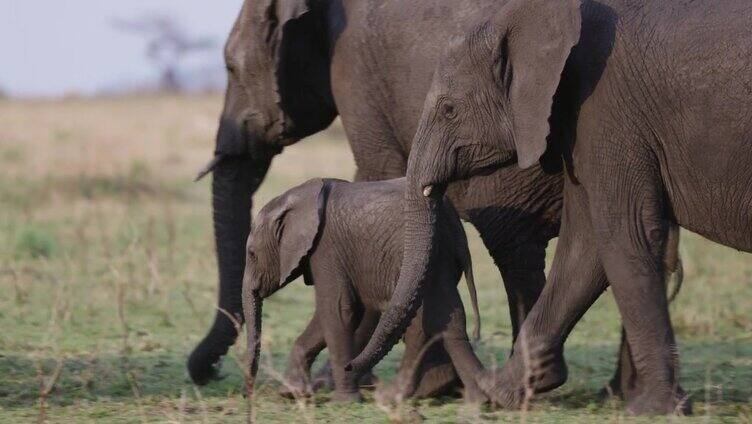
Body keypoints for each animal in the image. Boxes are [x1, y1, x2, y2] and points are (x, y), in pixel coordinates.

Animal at [244, 177, 484, 402]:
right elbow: (332, 314)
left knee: (422, 322)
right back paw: (476, 398)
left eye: (252, 254)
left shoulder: (326, 250)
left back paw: (394, 395)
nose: (250, 390)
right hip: (440, 257)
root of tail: (451, 217)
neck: (296, 198)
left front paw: (343, 401)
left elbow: (337, 310)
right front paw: (291, 393)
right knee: (448, 318)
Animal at [346, 0, 748, 414]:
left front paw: (652, 409)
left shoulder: (606, 111)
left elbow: (624, 236)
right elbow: (583, 249)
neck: (523, 16)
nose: (351, 369)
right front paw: (504, 391)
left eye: (449, 110)